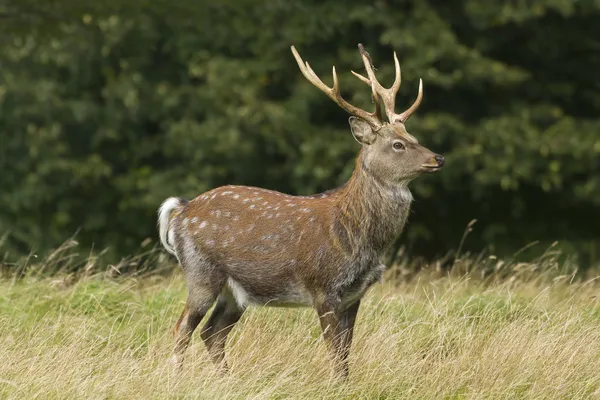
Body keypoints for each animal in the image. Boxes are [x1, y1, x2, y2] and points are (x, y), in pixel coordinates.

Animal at [157, 43, 442, 378]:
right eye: (398, 145)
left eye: (414, 138)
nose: (438, 158)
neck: (358, 237)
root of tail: (181, 210)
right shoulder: (323, 287)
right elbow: (335, 354)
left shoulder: (355, 295)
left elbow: (346, 354)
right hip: (200, 272)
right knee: (182, 328)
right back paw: (178, 379)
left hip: (236, 291)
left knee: (212, 333)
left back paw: (227, 380)